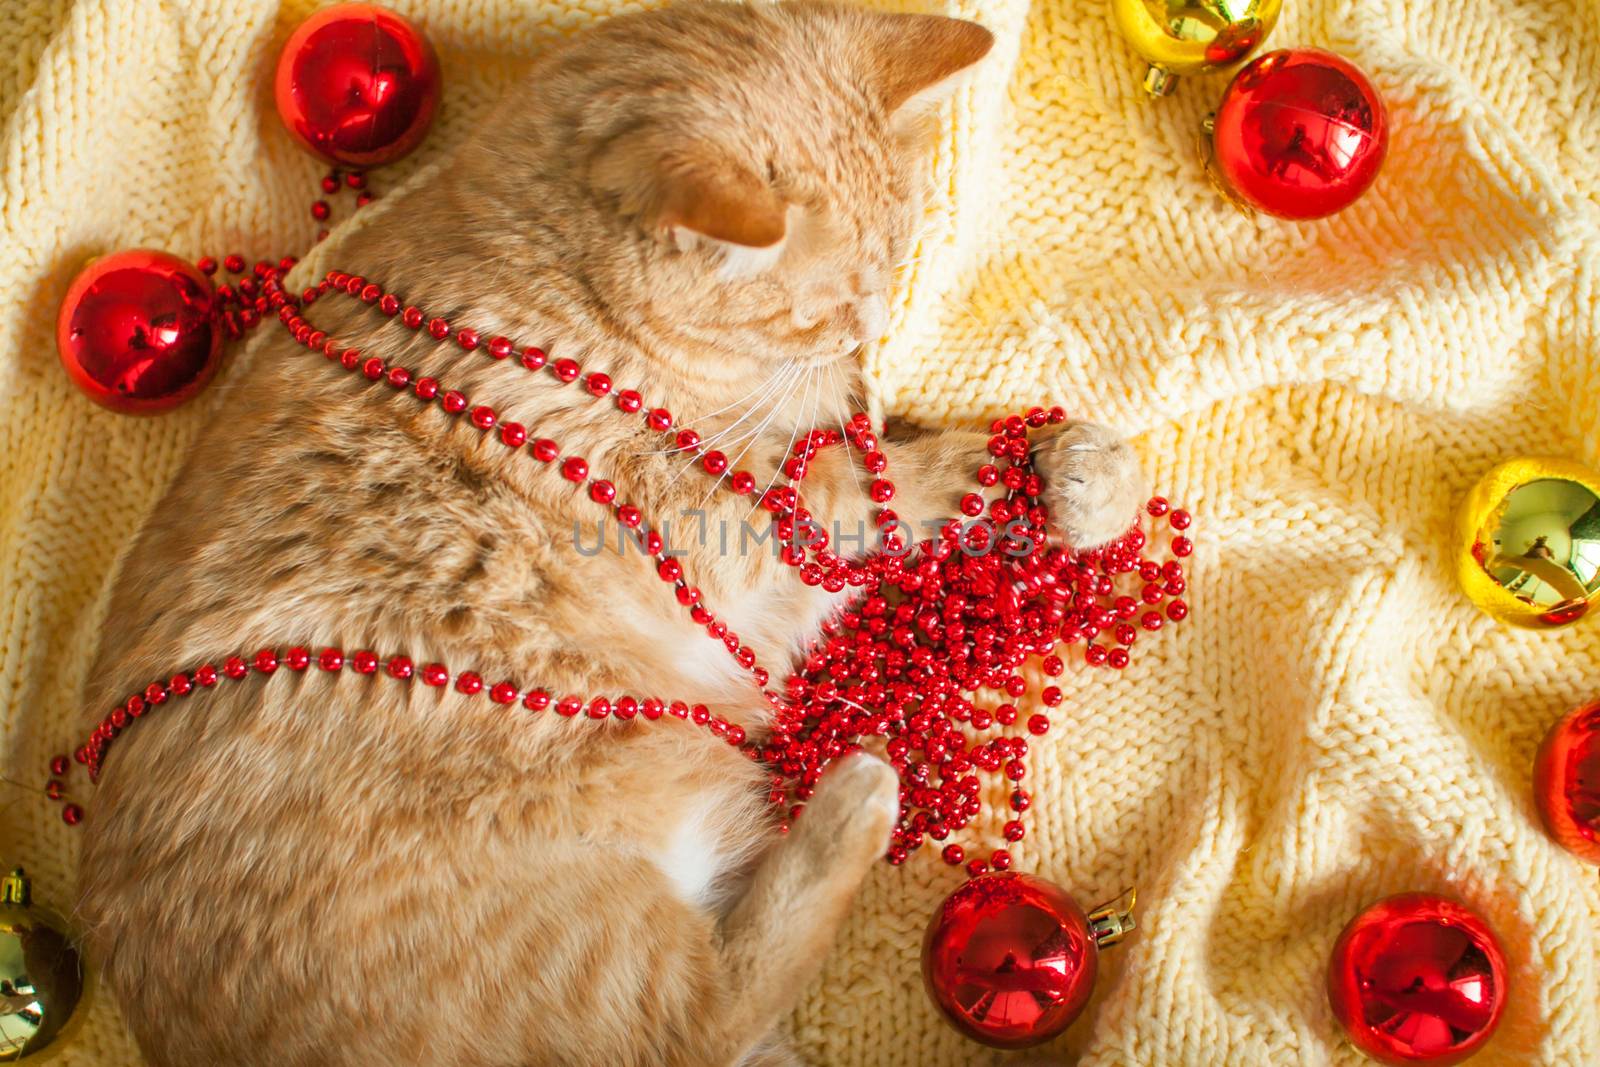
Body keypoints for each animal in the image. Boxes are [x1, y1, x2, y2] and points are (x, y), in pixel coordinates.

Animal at [78, 4, 1139, 1062]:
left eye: (895, 266)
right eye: (817, 314)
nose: (863, 340)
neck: (564, 302)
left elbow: (886, 458)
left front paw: (1053, 474)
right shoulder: (734, 532)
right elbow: (876, 483)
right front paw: (1054, 472)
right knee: (704, 1018)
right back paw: (858, 796)